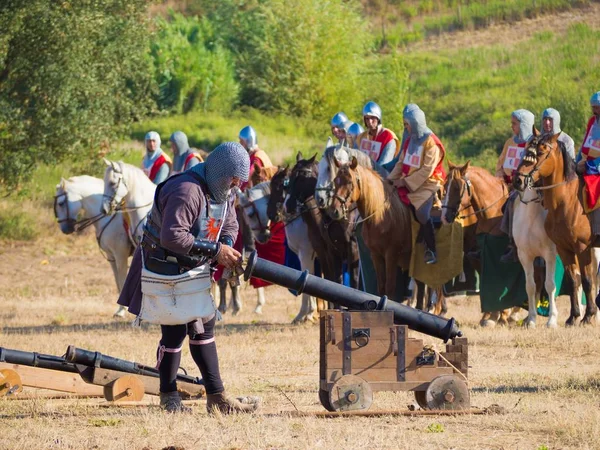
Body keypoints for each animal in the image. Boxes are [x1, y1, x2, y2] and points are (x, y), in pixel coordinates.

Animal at [54, 174, 134, 318]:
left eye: (61, 203)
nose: (64, 229)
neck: (110, 217)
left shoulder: (121, 256)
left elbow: (123, 280)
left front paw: (121, 311)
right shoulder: (111, 257)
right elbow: (117, 282)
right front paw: (120, 309)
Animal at [328, 156, 412, 300]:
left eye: (349, 182)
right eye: (335, 181)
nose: (335, 211)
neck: (381, 215)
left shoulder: (391, 255)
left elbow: (390, 288)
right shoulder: (376, 254)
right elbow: (381, 287)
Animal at [442, 162, 524, 326]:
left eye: (457, 188)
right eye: (445, 186)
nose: (445, 217)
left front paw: (501, 316)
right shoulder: (479, 257)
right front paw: (490, 316)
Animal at [512, 132, 596, 326]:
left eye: (541, 152)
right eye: (526, 149)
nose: (518, 180)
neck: (568, 201)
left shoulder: (579, 248)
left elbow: (583, 281)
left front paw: (586, 316)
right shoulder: (561, 249)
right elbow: (571, 281)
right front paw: (572, 317)